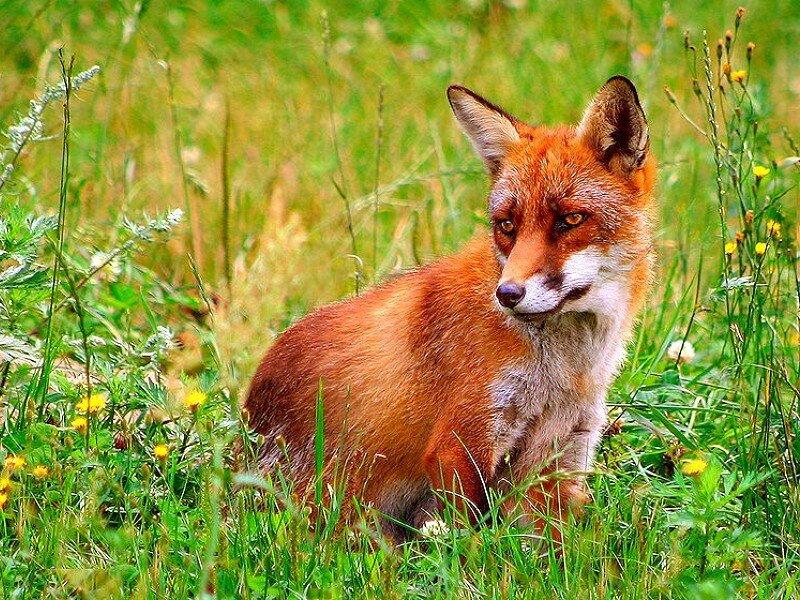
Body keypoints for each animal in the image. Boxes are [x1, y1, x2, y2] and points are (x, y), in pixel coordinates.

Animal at [245, 76, 655, 542]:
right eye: (506, 225)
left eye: (570, 220)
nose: (507, 294)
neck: (564, 370)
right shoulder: (461, 440)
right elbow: (471, 545)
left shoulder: (561, 452)